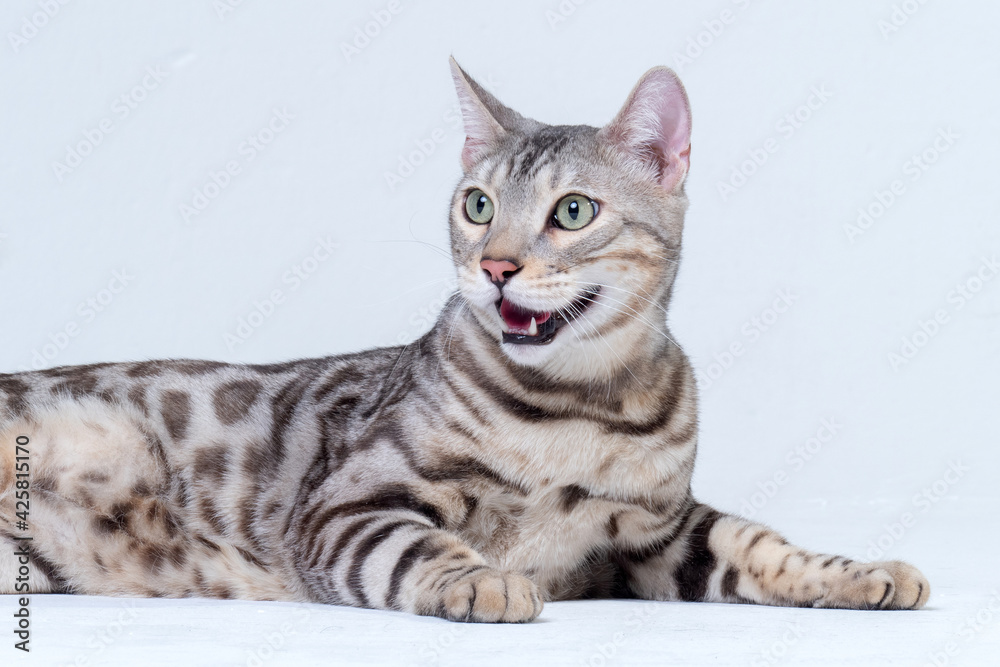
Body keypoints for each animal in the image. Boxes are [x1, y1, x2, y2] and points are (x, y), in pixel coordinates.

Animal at [0, 60, 928, 624]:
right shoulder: (350, 500)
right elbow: (417, 543)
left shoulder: (660, 537)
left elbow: (761, 542)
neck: (578, 406)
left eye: (573, 211)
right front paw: (480, 576)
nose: (496, 265)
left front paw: (856, 570)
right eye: (477, 204)